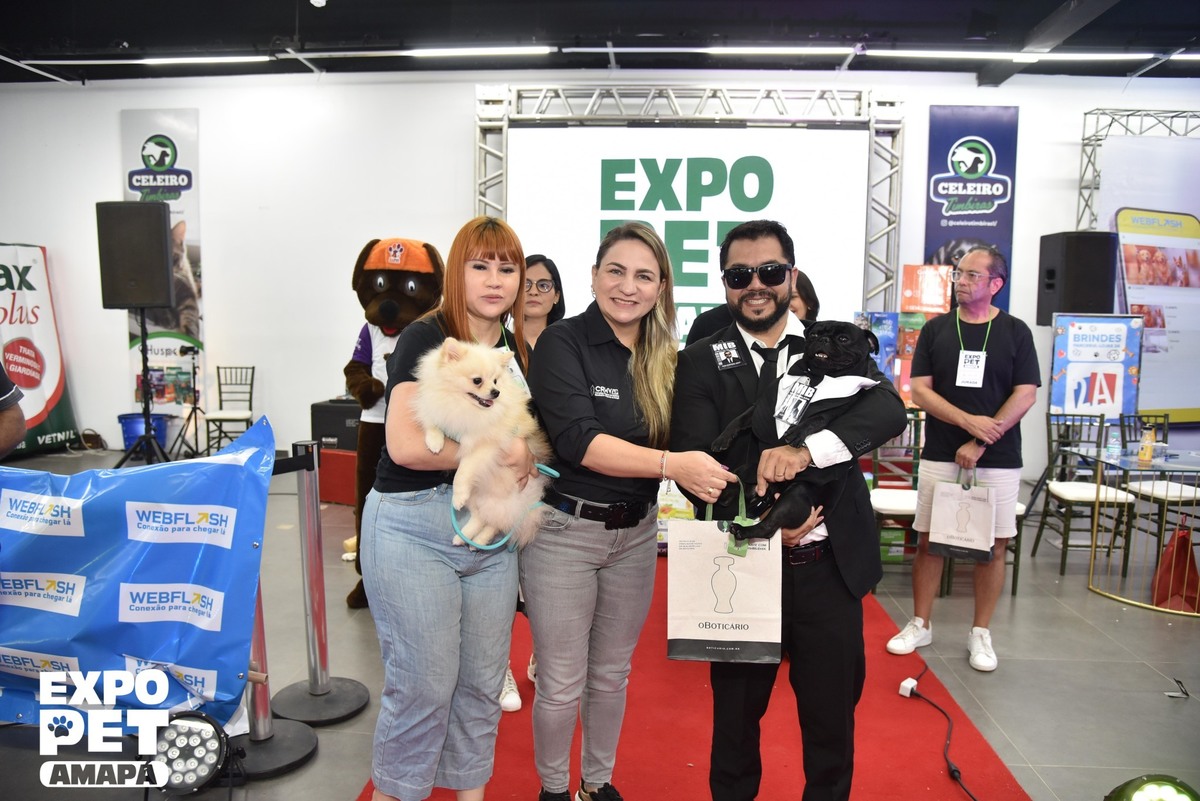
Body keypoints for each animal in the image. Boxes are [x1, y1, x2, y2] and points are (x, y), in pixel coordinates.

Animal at [413, 337, 551, 548]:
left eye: (495, 380)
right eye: (477, 380)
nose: (496, 392)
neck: (462, 406)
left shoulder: (486, 446)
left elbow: (463, 470)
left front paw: (458, 494)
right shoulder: (438, 407)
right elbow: (431, 420)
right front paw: (434, 442)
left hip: (497, 499)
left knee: (497, 522)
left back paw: (477, 539)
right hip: (477, 495)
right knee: (481, 518)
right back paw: (464, 538)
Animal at [711, 320, 881, 540]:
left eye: (844, 338)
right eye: (814, 334)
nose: (822, 339)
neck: (818, 376)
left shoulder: (837, 410)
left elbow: (816, 419)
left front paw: (797, 432)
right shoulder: (760, 408)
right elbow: (739, 419)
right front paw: (722, 439)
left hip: (795, 495)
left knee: (768, 527)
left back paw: (742, 529)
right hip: (751, 472)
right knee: (738, 479)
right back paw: (724, 492)